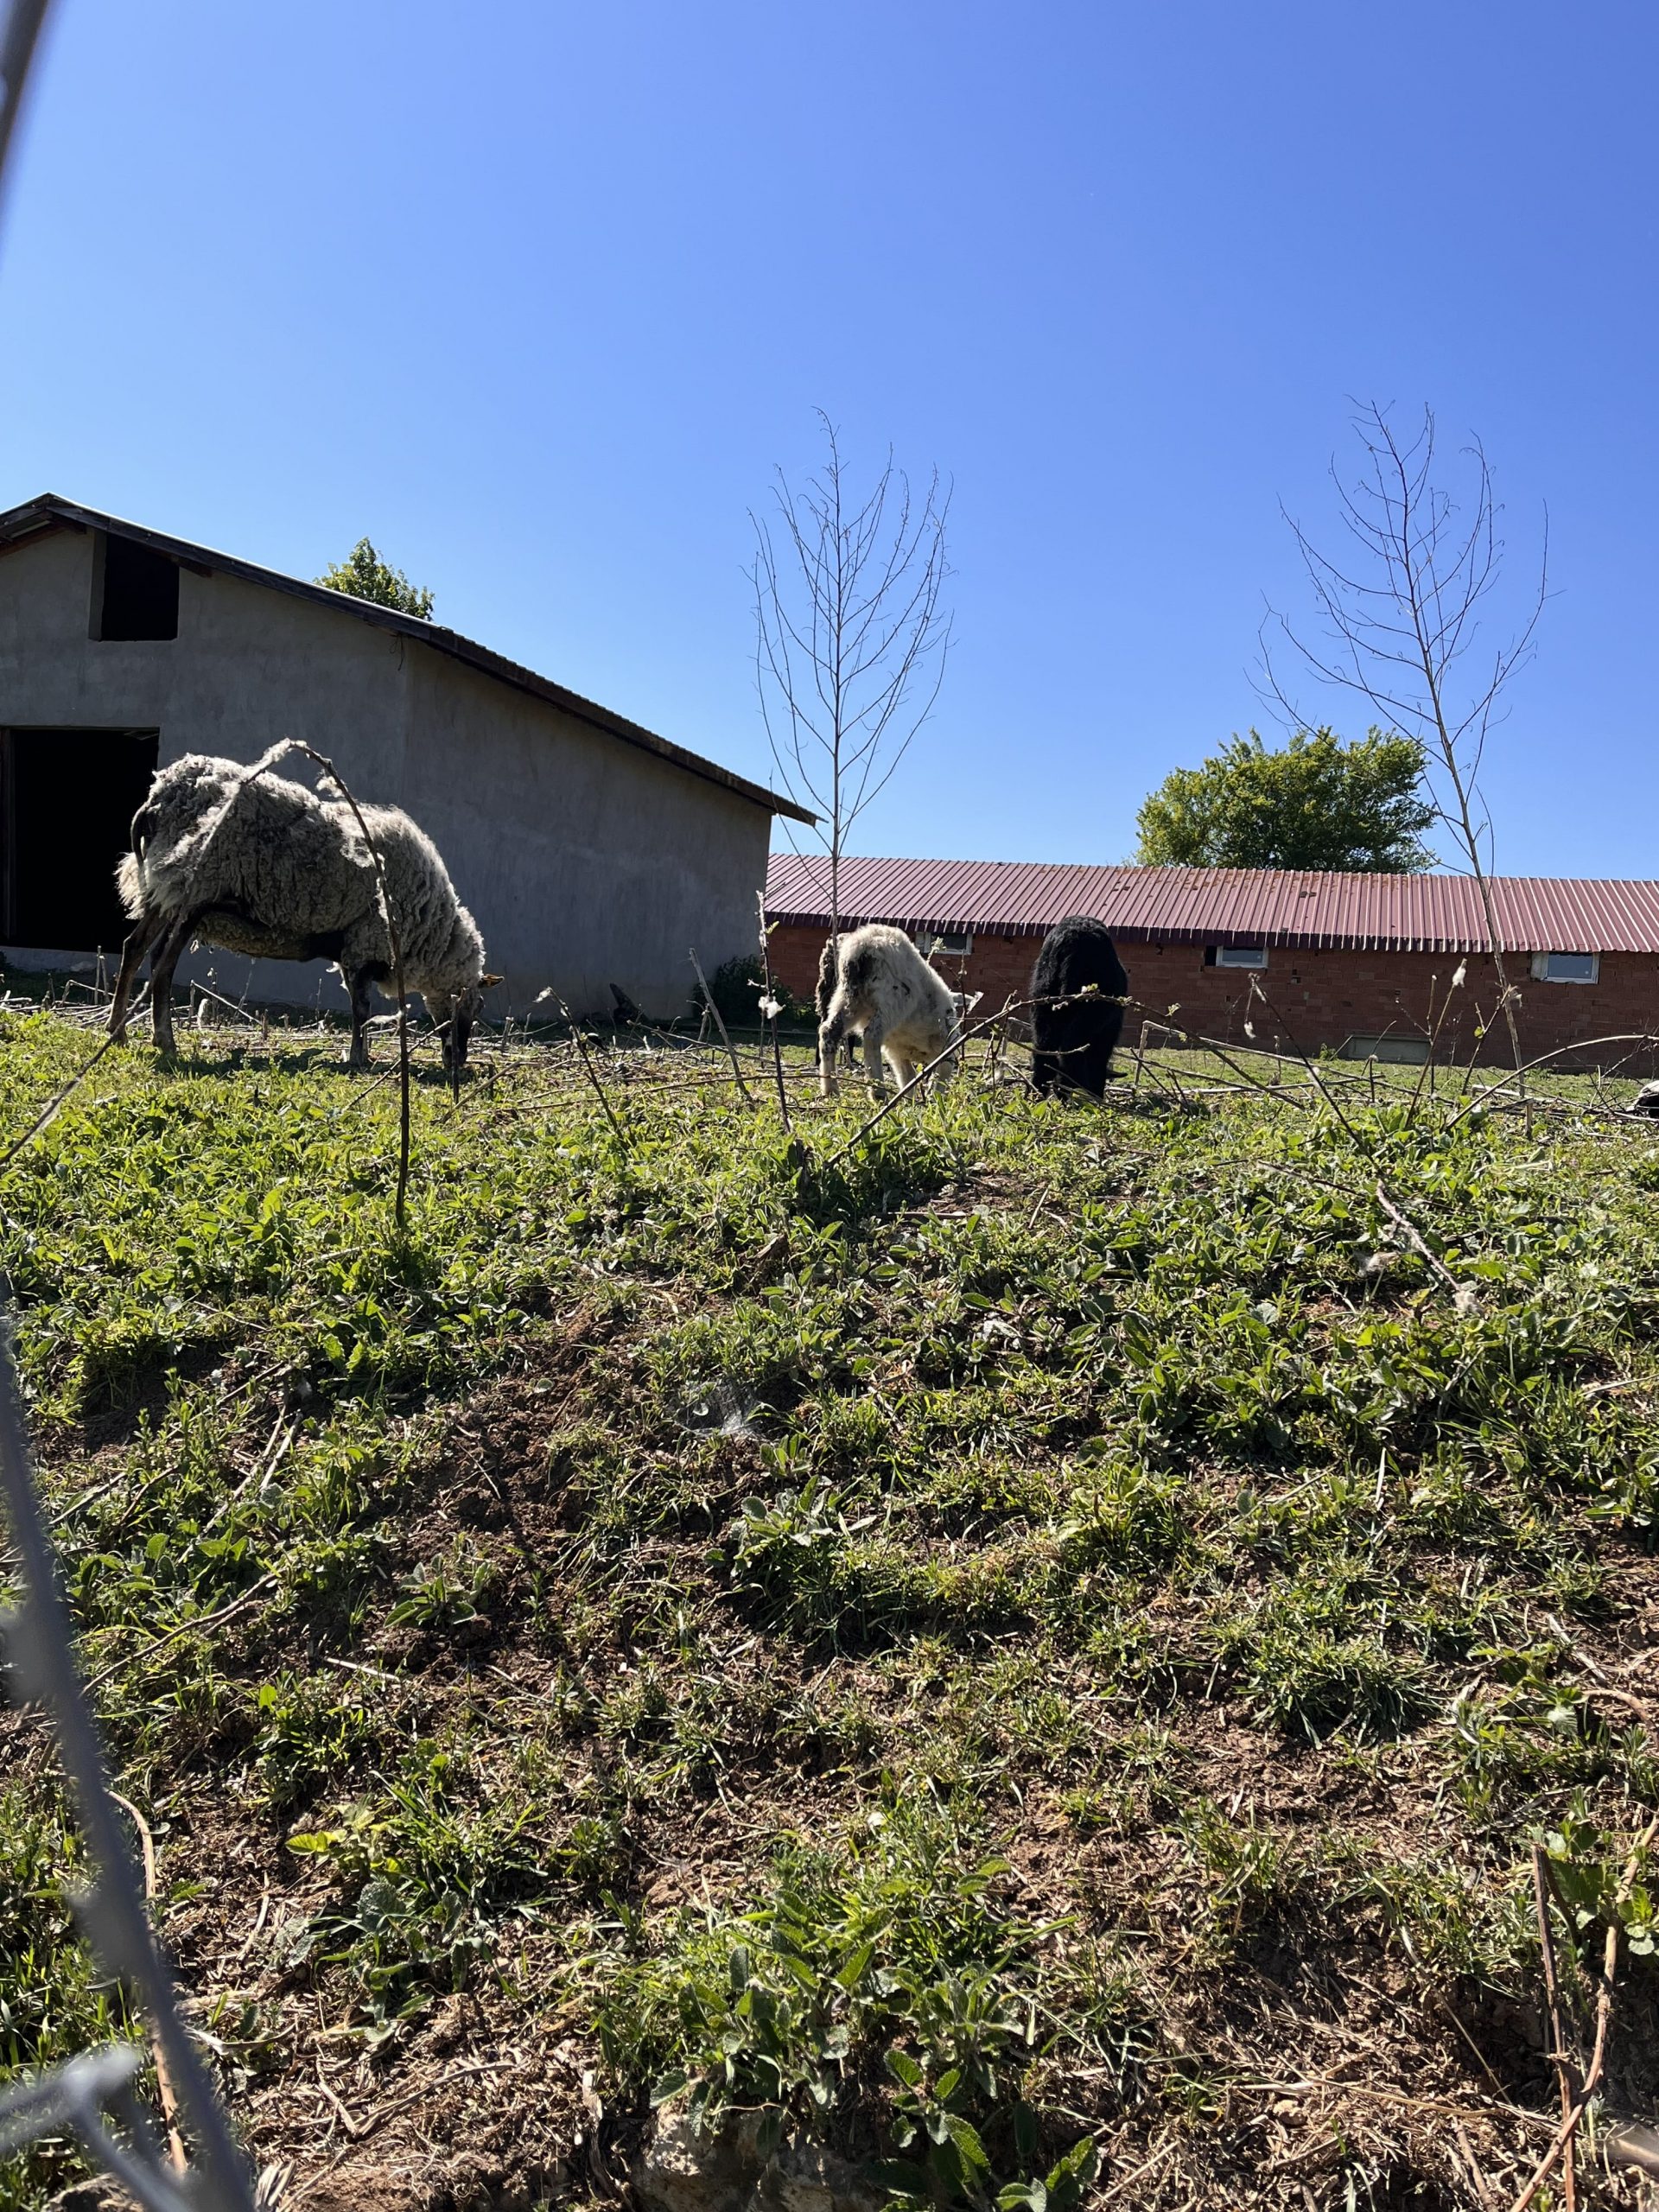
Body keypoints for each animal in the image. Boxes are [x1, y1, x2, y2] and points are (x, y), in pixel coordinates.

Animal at [108, 750, 492, 1071]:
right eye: (471, 1008)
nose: (459, 1062)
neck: (427, 927)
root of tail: (160, 795)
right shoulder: (365, 943)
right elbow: (361, 1010)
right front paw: (358, 1058)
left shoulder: (352, 949)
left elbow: (360, 1009)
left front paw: (360, 1054)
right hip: (194, 892)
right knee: (163, 966)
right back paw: (164, 1041)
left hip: (163, 893)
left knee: (136, 948)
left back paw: (120, 1032)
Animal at [818, 923, 960, 1096]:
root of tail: (862, 945)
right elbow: (939, 1075)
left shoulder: (896, 1051)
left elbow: (908, 1077)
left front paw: (908, 1099)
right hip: (894, 1000)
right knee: (872, 1035)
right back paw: (878, 1092)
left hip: (850, 996)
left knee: (829, 1031)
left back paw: (831, 1089)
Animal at [1029, 916, 1127, 1098]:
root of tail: (1070, 936)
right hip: (1089, 1016)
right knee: (1070, 1053)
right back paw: (1081, 1095)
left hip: (1042, 1006)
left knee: (1043, 1055)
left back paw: (1035, 1097)